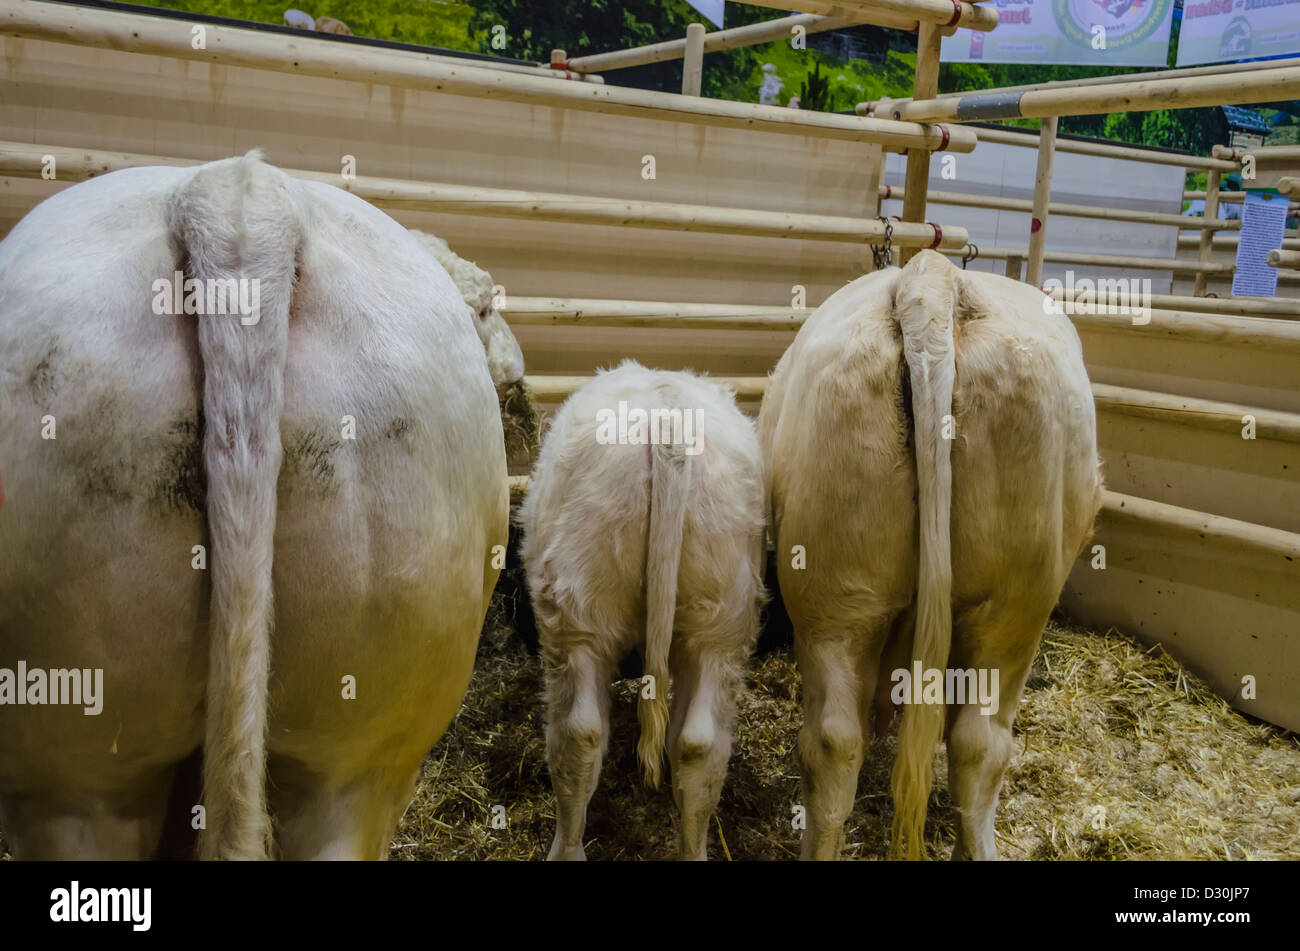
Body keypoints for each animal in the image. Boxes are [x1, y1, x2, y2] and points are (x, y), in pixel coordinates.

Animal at [514, 361, 764, 857]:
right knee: (698, 745)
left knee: (579, 733)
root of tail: (667, 416)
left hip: (577, 612)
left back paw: (566, 848)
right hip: (722, 620)